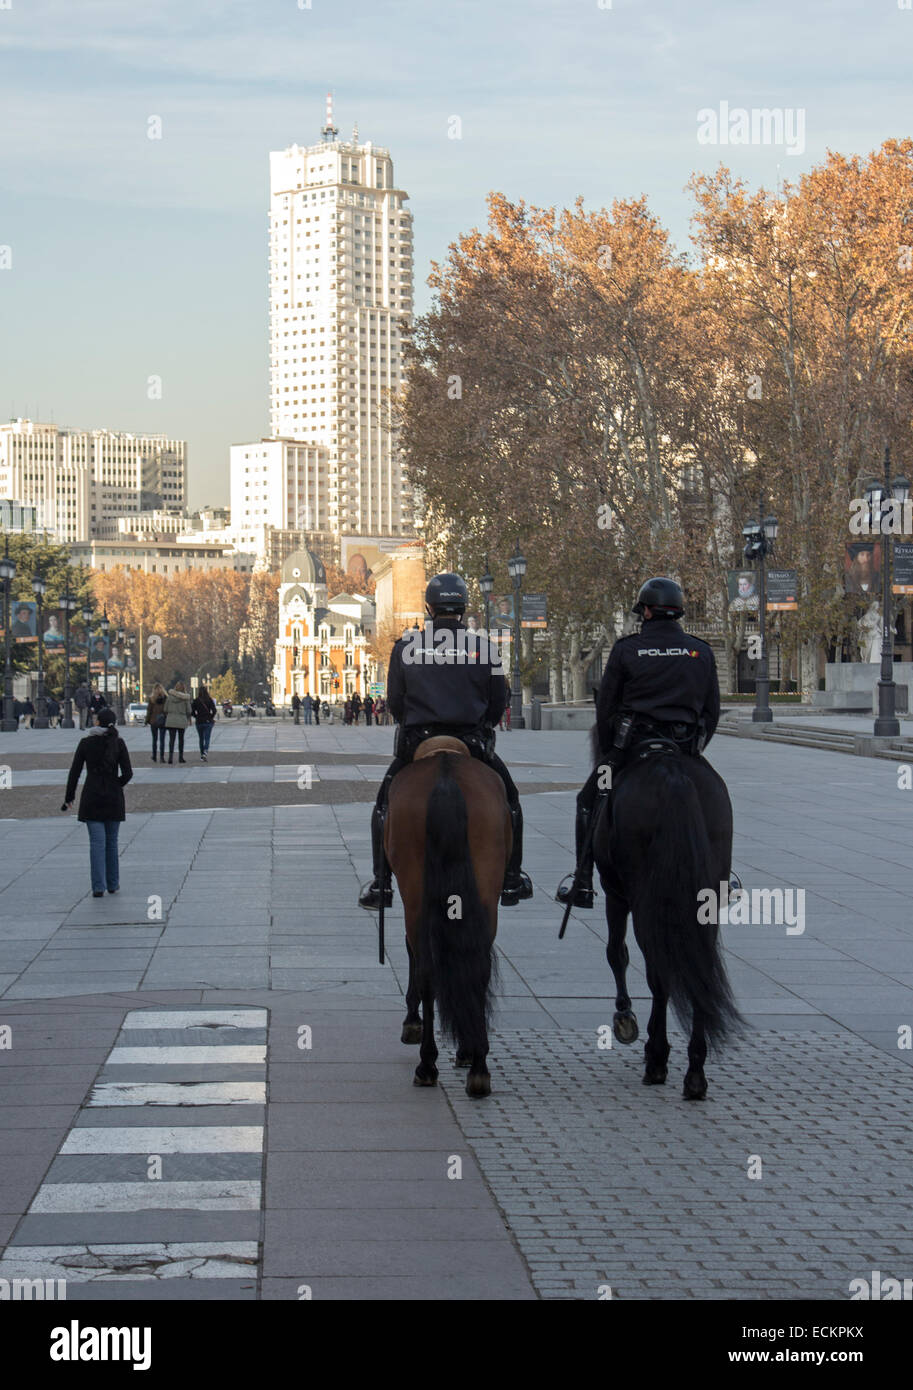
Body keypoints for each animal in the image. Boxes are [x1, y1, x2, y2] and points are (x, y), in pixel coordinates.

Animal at [383, 739, 511, 1095]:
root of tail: (444, 773)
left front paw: (412, 1023)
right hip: (484, 891)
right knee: (476, 965)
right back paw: (478, 1064)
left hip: (415, 894)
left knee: (427, 969)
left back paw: (428, 1063)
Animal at [591, 733, 739, 1100]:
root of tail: (672, 774)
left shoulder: (615, 894)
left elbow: (616, 953)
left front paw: (625, 1016)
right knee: (699, 967)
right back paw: (695, 1071)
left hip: (644, 900)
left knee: (658, 971)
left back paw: (657, 1059)